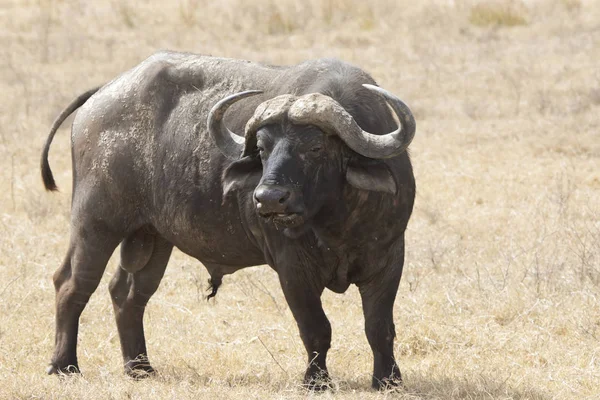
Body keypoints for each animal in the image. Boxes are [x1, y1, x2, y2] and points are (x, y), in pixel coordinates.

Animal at [42, 50, 414, 390]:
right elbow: (316, 328)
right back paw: (64, 365)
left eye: (316, 148)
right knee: (73, 283)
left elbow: (379, 328)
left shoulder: (389, 258)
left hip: (152, 236)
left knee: (129, 292)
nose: (269, 198)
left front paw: (387, 379)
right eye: (262, 148)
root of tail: (103, 93)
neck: (336, 221)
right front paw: (316, 382)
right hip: (95, 222)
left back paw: (140, 367)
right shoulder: (293, 268)